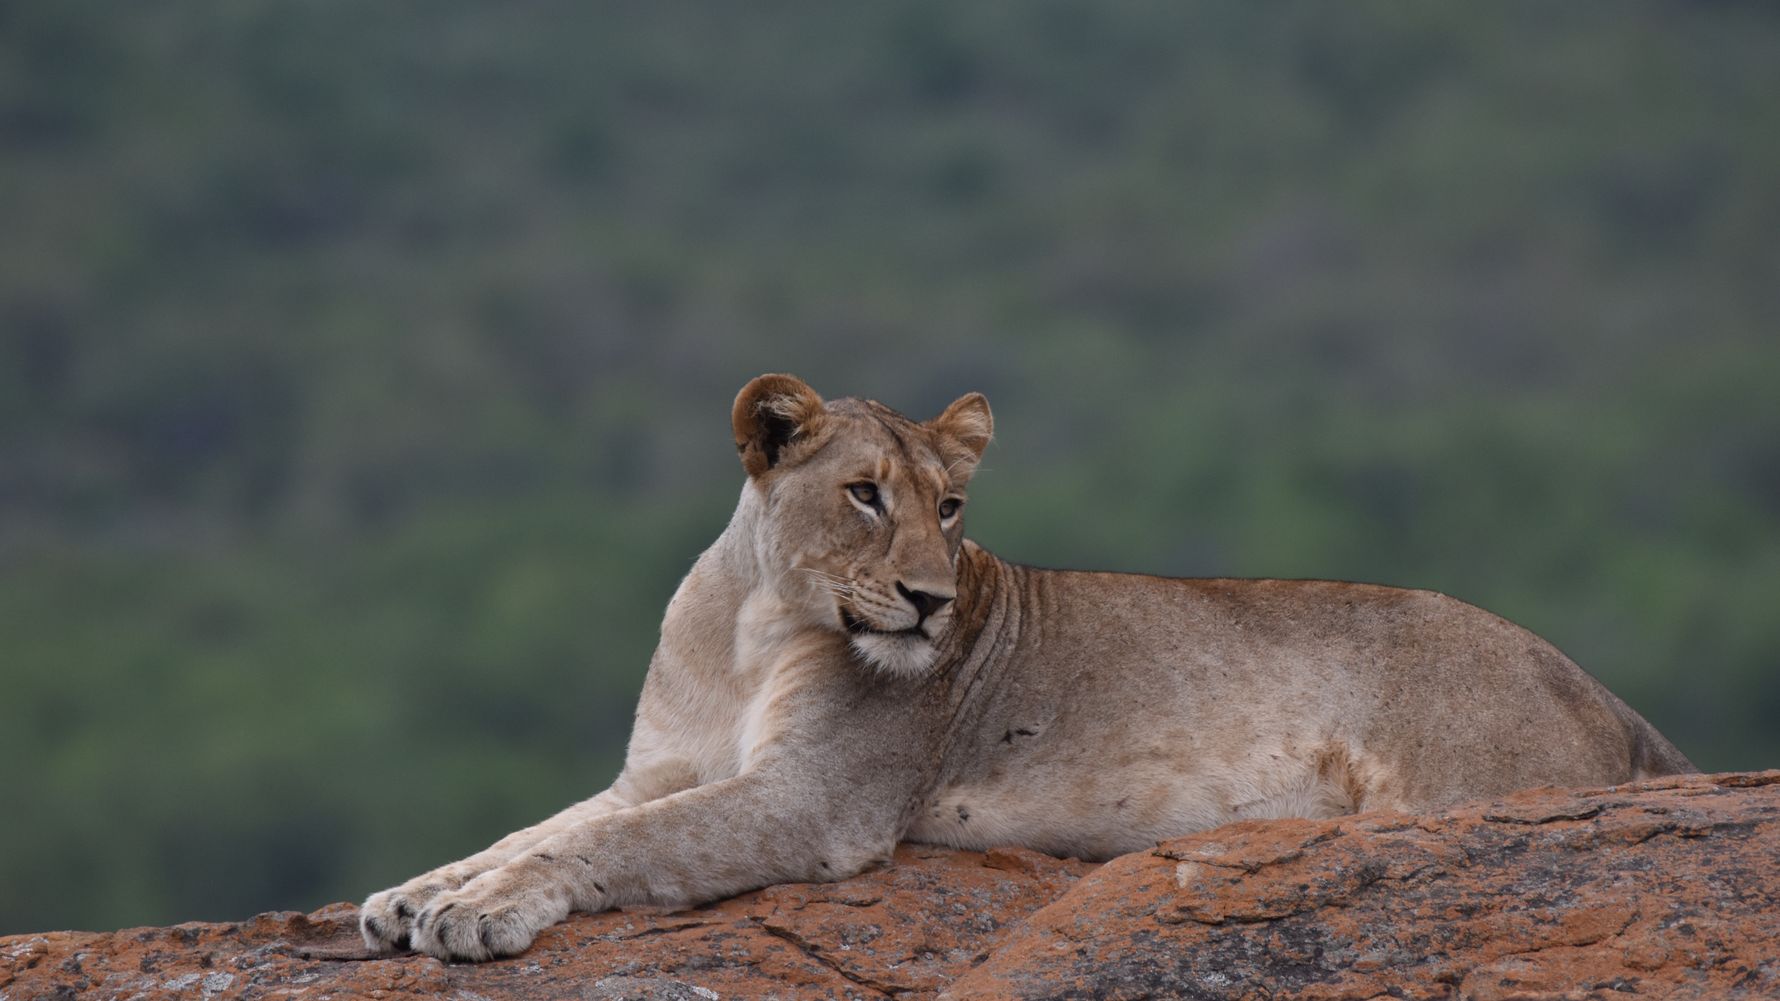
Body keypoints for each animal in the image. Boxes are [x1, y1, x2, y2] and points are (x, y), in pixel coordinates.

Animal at [360, 373, 1694, 961]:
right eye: (865, 493)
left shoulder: (816, 802)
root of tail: (1599, 686)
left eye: (949, 507)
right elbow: (547, 823)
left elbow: (605, 843)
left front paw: (479, 911)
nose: (931, 599)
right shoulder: (658, 767)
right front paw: (412, 893)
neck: (750, 624)